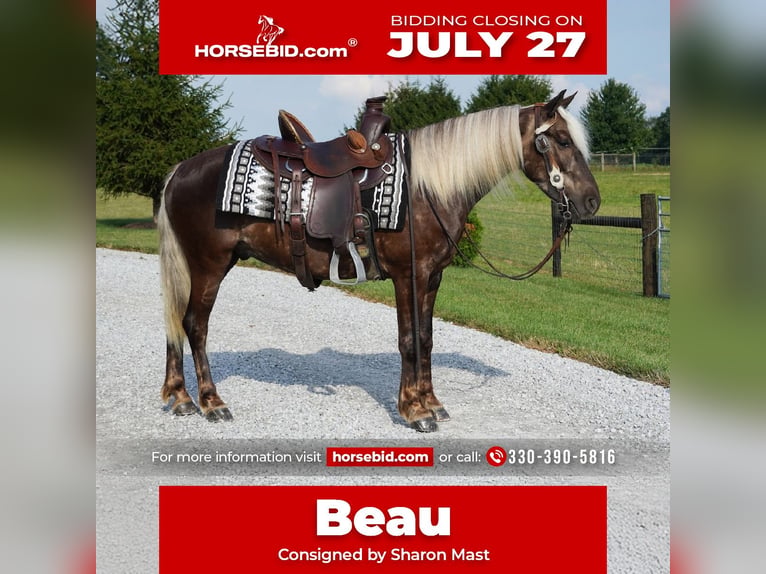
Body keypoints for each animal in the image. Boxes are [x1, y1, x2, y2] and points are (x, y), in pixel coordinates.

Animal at [157, 90, 600, 432]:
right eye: (561, 140)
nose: (592, 202)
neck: (426, 187)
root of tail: (180, 170)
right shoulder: (409, 275)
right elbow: (408, 340)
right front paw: (415, 410)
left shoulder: (432, 277)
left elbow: (426, 338)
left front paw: (432, 402)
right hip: (210, 265)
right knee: (195, 325)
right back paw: (212, 402)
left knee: (176, 321)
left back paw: (181, 398)